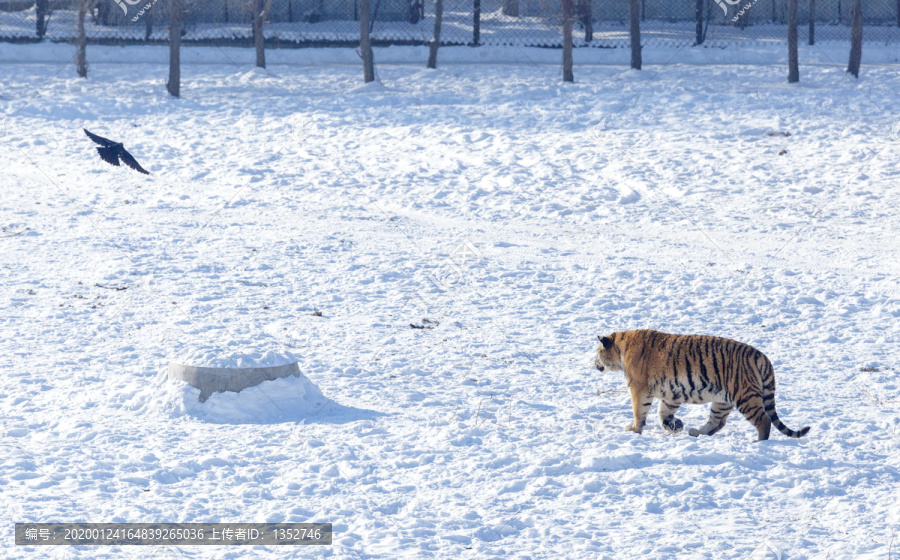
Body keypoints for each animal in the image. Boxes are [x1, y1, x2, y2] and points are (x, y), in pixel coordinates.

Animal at [596, 328, 812, 442]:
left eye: (598, 352)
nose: (594, 363)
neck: (622, 346)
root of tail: (762, 356)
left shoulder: (638, 388)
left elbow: (639, 411)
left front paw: (634, 429)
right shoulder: (671, 393)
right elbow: (663, 412)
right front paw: (674, 425)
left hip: (744, 396)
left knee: (764, 420)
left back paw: (759, 442)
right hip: (722, 400)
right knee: (717, 422)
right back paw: (696, 432)